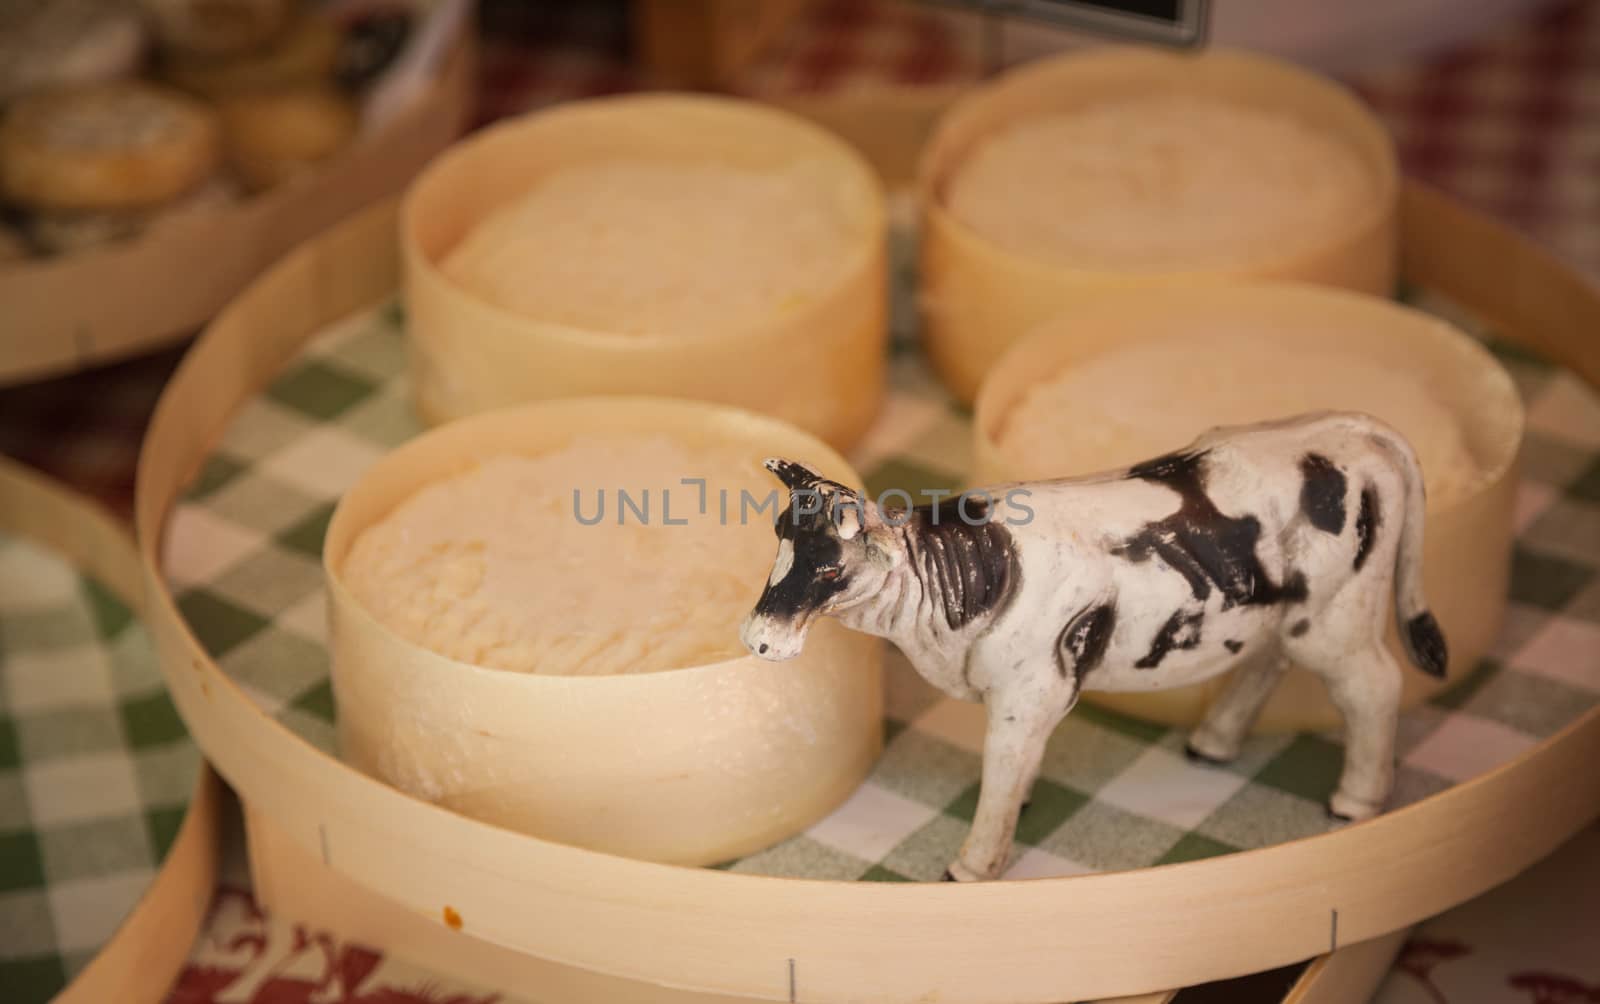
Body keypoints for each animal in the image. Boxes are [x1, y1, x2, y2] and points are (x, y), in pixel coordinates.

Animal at [739, 412, 1452, 882]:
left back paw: (1355, 802)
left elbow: (1002, 769)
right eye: (779, 542)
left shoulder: (1029, 692)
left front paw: (975, 865)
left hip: (1338, 619)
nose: (759, 639)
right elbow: (1021, 765)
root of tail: (1355, 429)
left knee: (1374, 687)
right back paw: (1214, 741)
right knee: (1269, 660)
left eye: (831, 567)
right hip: (1288, 614)